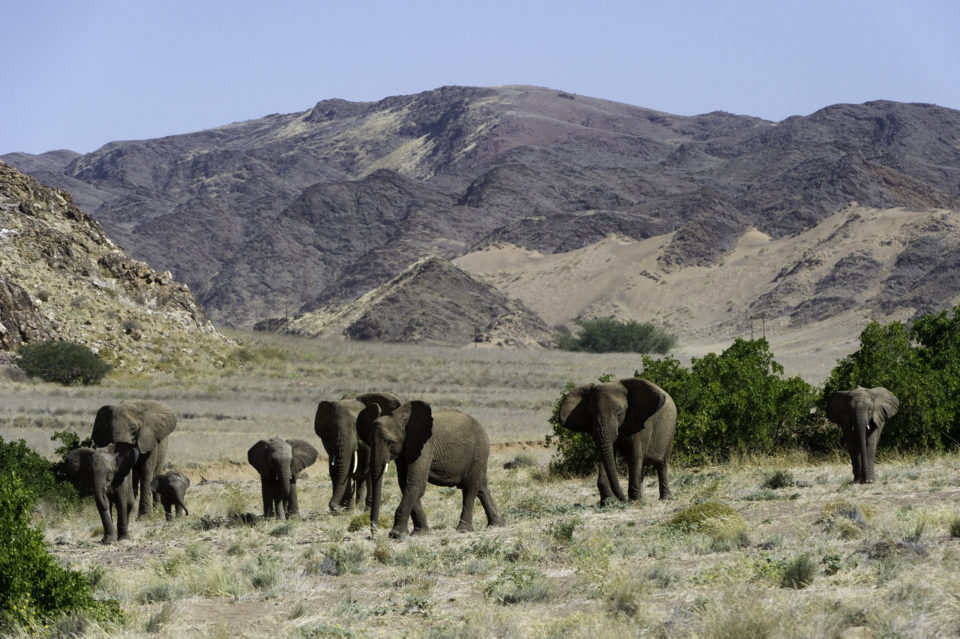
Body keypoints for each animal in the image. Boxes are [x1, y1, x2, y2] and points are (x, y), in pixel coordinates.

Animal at [356, 402, 506, 536]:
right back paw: (496, 525)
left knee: (470, 488)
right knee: (481, 488)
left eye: (390, 442)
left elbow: (416, 484)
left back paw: (464, 530)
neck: (399, 417)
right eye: (369, 441)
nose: (372, 535)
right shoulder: (405, 450)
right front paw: (420, 533)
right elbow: (406, 484)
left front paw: (396, 535)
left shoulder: (425, 446)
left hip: (479, 452)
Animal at [556, 378, 676, 508]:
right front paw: (607, 503)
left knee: (662, 464)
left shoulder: (642, 422)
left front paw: (635, 502)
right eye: (591, 413)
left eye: (618, 410)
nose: (623, 500)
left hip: (670, 432)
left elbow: (635, 456)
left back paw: (666, 499)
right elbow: (608, 455)